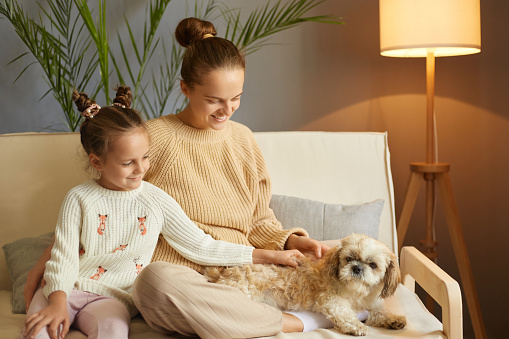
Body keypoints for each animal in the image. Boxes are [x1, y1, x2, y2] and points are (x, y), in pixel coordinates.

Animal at [204, 232, 406, 336]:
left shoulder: (371, 304)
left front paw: (394, 320)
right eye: (349, 259)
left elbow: (378, 313)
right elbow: (345, 313)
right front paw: (356, 326)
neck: (356, 293)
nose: (357, 268)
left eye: (373, 265)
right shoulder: (331, 300)